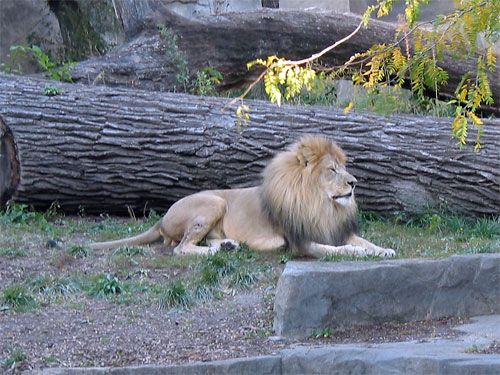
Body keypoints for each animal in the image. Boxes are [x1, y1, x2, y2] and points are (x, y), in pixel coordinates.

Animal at [90, 137, 394, 260]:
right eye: (332, 170)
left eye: (343, 167)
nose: (354, 183)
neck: (322, 205)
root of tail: (162, 219)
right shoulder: (300, 242)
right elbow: (339, 250)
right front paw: (359, 253)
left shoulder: (334, 230)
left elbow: (363, 240)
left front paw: (383, 250)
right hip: (215, 202)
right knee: (181, 248)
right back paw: (218, 251)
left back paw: (228, 246)